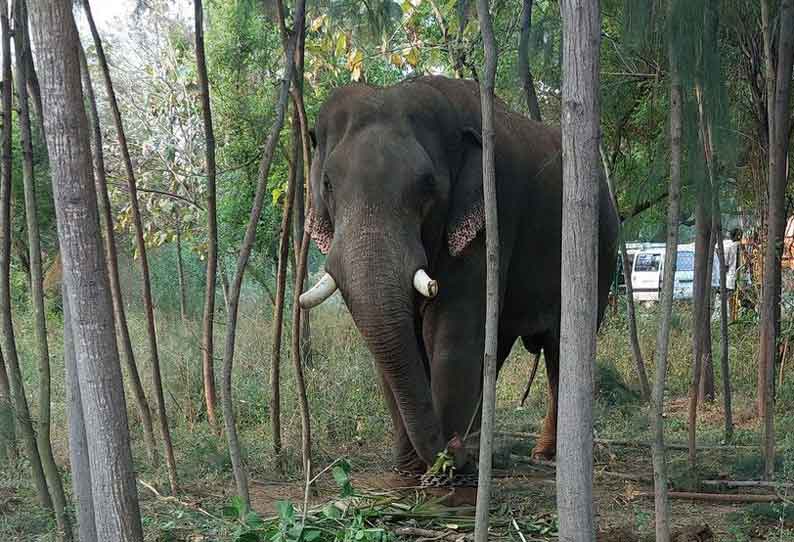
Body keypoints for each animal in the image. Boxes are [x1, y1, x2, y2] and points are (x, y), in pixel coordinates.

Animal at [296, 74, 620, 478]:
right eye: (326, 184)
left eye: (427, 185)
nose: (452, 447)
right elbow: (400, 342)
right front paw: (410, 470)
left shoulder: (492, 214)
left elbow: (451, 332)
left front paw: (445, 472)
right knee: (498, 346)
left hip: (601, 251)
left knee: (561, 351)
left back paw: (543, 455)